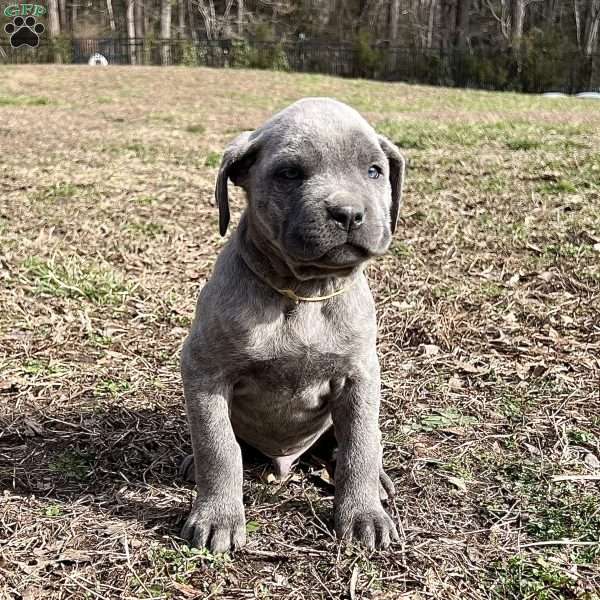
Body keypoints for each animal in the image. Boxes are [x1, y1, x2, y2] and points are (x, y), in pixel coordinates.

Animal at [180, 97, 406, 552]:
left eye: (374, 171)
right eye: (289, 174)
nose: (348, 213)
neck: (303, 292)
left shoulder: (360, 377)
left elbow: (360, 446)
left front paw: (363, 514)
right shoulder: (204, 373)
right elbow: (219, 448)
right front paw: (218, 517)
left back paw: (378, 483)